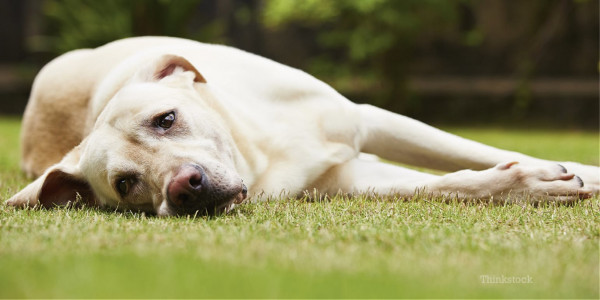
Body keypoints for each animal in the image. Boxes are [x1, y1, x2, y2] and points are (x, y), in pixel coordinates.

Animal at [5, 37, 600, 216]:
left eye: (165, 119)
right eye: (126, 185)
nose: (183, 190)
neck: (260, 152)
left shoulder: (369, 121)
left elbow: (464, 151)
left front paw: (571, 169)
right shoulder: (350, 180)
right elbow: (452, 182)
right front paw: (528, 183)